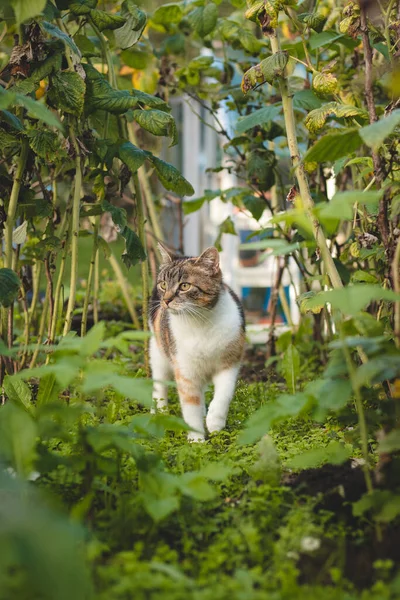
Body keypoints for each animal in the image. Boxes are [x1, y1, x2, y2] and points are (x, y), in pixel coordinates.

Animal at [148, 244, 245, 440]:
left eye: (184, 286)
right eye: (163, 284)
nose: (166, 300)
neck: (200, 323)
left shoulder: (230, 363)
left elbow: (224, 394)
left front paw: (215, 422)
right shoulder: (185, 371)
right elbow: (190, 407)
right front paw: (196, 441)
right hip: (158, 351)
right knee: (159, 386)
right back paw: (159, 415)